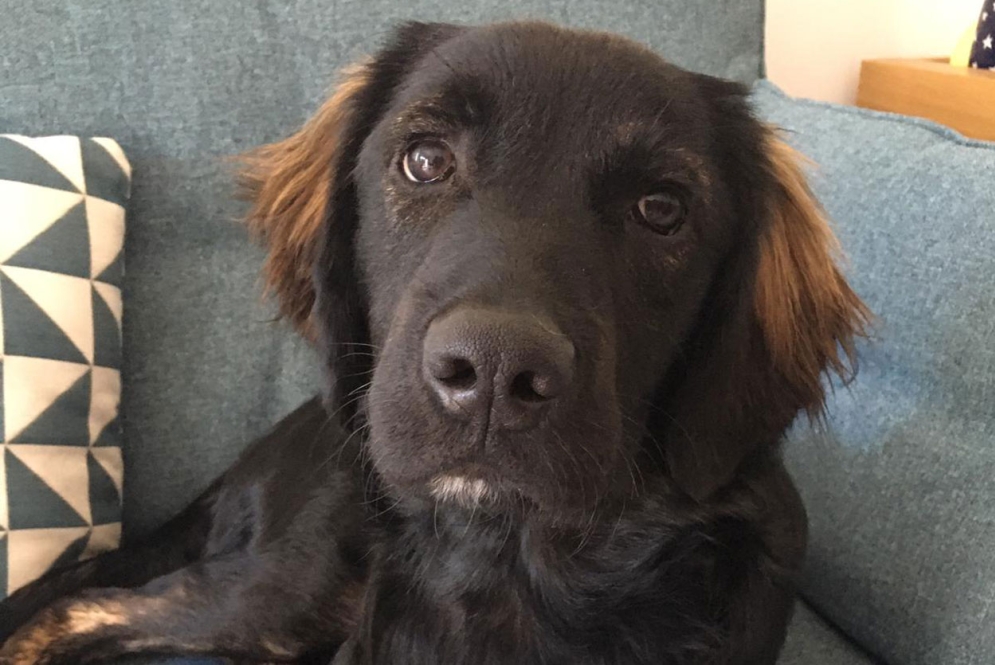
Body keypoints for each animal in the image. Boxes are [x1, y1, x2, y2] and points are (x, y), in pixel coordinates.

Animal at [0, 20, 872, 664]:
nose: (492, 371)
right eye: (423, 159)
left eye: (661, 209)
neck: (517, 568)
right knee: (83, 602)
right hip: (282, 589)